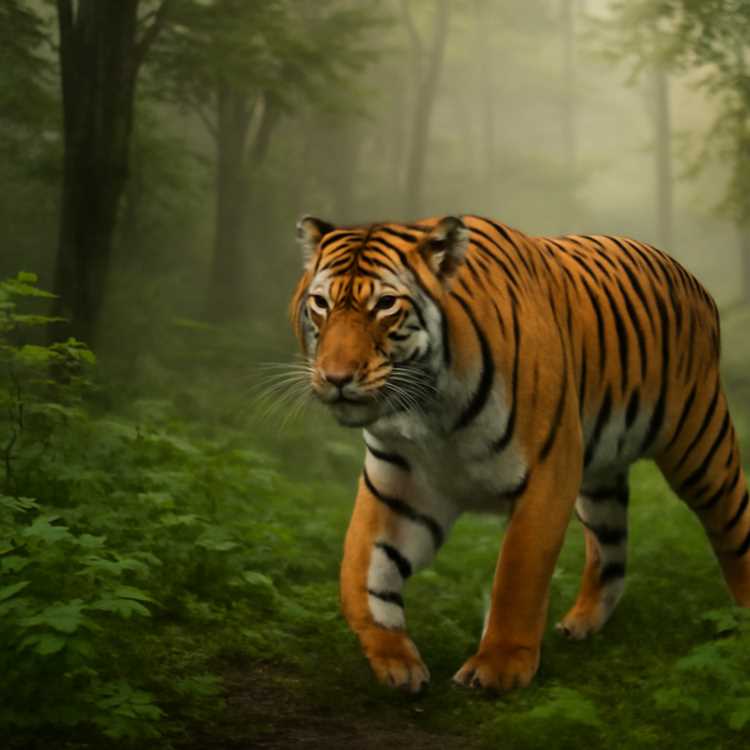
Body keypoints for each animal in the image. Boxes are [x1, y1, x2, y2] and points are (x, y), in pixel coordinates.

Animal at [289, 214, 750, 693]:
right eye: (320, 303)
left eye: (384, 305)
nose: (336, 377)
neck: (428, 411)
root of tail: (689, 275)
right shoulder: (397, 487)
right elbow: (363, 573)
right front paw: (395, 660)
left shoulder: (547, 474)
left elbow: (518, 576)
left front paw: (498, 667)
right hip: (600, 480)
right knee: (610, 552)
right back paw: (581, 624)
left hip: (702, 446)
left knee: (734, 524)